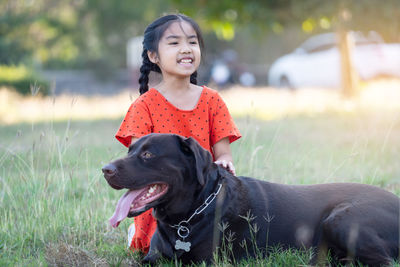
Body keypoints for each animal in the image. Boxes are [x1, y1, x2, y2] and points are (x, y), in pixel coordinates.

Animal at [104, 134, 400, 266]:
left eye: (148, 155)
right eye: (130, 150)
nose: (105, 169)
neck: (190, 216)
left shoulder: (207, 262)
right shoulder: (152, 257)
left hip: (340, 219)